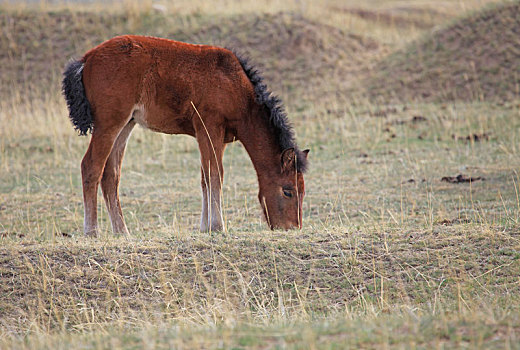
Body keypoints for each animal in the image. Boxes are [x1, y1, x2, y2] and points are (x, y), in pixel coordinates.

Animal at [64, 34, 308, 235]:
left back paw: (122, 231)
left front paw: (205, 227)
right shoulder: (209, 128)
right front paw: (217, 226)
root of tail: (87, 59)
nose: (291, 228)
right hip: (109, 123)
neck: (237, 88)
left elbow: (205, 178)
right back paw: (91, 231)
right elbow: (215, 175)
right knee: (91, 167)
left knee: (110, 174)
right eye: (288, 191)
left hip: (125, 125)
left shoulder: (217, 138)